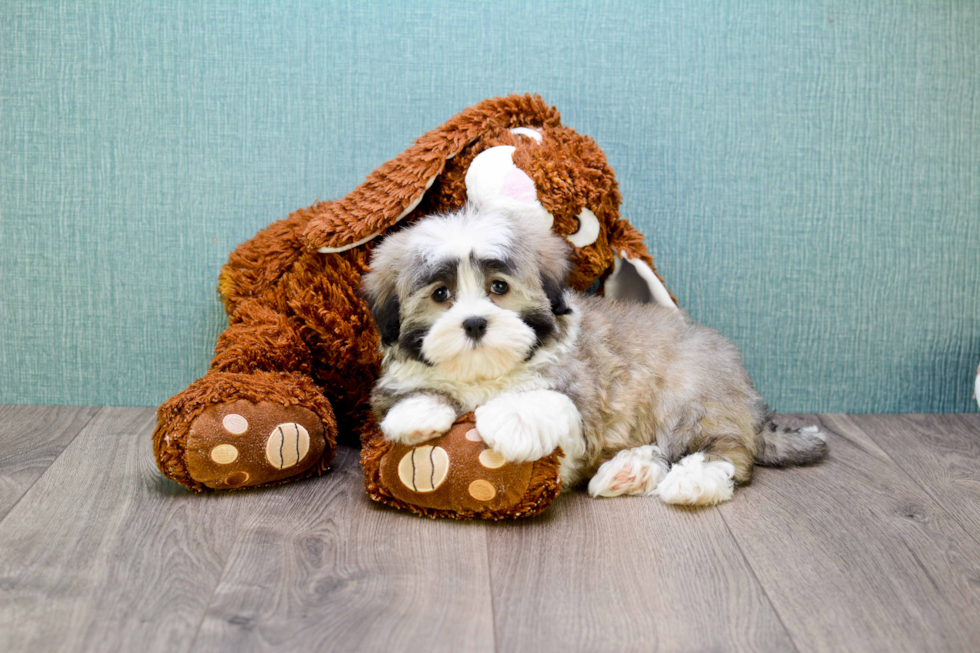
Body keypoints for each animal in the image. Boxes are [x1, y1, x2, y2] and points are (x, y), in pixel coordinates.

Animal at [360, 204, 828, 504]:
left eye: (499, 287)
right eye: (441, 294)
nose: (475, 323)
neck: (489, 373)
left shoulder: (584, 400)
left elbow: (550, 402)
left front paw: (511, 419)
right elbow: (407, 394)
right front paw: (415, 412)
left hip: (691, 395)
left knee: (725, 451)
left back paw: (693, 481)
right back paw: (631, 471)